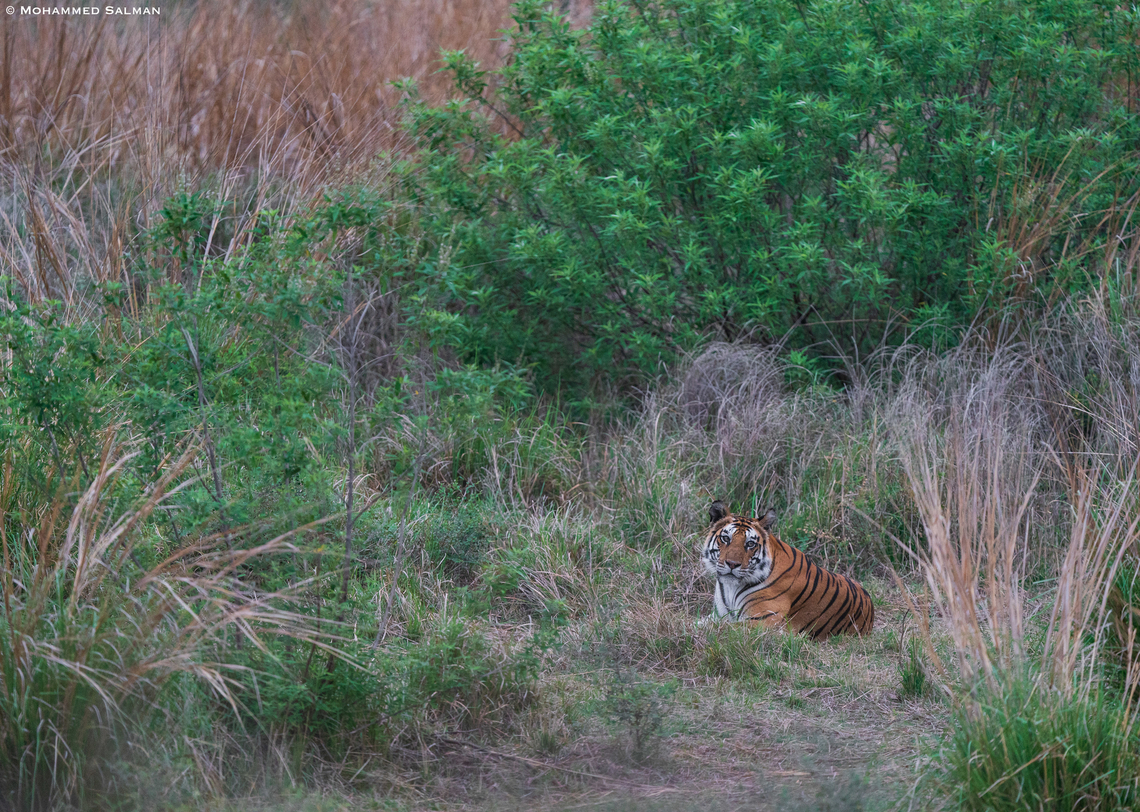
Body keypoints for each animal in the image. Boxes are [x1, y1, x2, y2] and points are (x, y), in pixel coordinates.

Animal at [701, 500, 874, 640]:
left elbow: (720, 628)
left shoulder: (760, 621)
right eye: (726, 538)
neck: (731, 587)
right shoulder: (718, 615)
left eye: (750, 544)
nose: (732, 564)